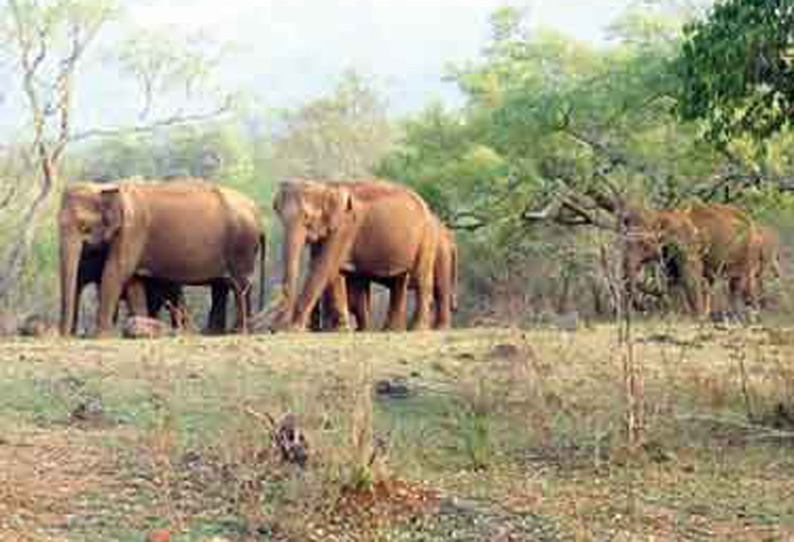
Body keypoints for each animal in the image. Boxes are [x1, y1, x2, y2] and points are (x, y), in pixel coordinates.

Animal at [58, 181, 268, 338]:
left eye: (84, 227)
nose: (66, 335)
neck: (106, 187)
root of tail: (258, 216)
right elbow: (133, 280)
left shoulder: (132, 230)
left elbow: (116, 271)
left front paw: (101, 336)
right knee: (221, 285)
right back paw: (212, 332)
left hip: (242, 244)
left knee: (239, 284)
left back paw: (238, 331)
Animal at [270, 180, 436, 332]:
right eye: (279, 215)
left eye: (306, 217)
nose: (273, 329)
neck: (327, 187)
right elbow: (333, 272)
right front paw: (341, 329)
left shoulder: (344, 228)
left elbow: (323, 267)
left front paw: (294, 328)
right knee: (399, 280)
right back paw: (390, 329)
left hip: (426, 237)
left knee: (421, 279)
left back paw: (417, 328)